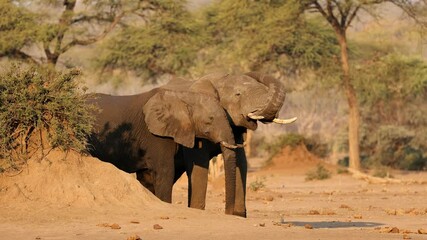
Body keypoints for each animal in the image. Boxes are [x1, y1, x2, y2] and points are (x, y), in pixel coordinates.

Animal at [86, 85, 241, 215]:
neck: (182, 96)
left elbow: (147, 177)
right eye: (210, 119)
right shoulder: (156, 136)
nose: (228, 214)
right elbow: (165, 171)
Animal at [160, 71, 298, 218]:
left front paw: (238, 215)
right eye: (238, 94)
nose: (227, 212)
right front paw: (197, 210)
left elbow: (241, 163)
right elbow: (199, 164)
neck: (218, 80)